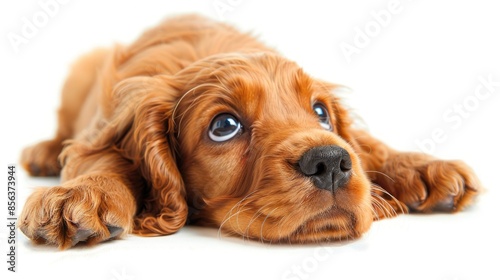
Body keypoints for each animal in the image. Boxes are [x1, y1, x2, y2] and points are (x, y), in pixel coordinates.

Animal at [19, 14, 480, 249]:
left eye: (321, 112)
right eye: (224, 126)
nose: (330, 162)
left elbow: (368, 145)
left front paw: (422, 167)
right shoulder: (104, 126)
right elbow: (102, 156)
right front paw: (82, 193)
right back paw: (42, 153)